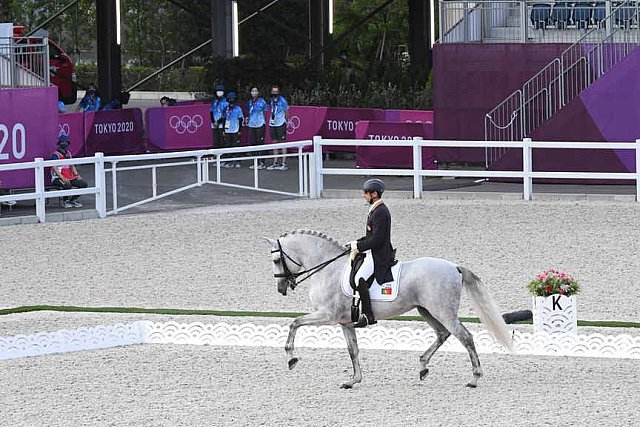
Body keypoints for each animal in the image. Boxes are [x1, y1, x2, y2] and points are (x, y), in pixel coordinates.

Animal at [264, 231, 516, 392]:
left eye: (276, 259)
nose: (281, 288)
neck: (328, 269)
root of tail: (454, 267)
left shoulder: (328, 315)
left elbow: (295, 323)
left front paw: (291, 357)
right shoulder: (345, 322)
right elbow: (353, 351)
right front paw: (353, 380)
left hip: (443, 312)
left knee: (465, 337)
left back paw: (474, 378)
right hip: (426, 310)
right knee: (443, 334)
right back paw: (423, 366)